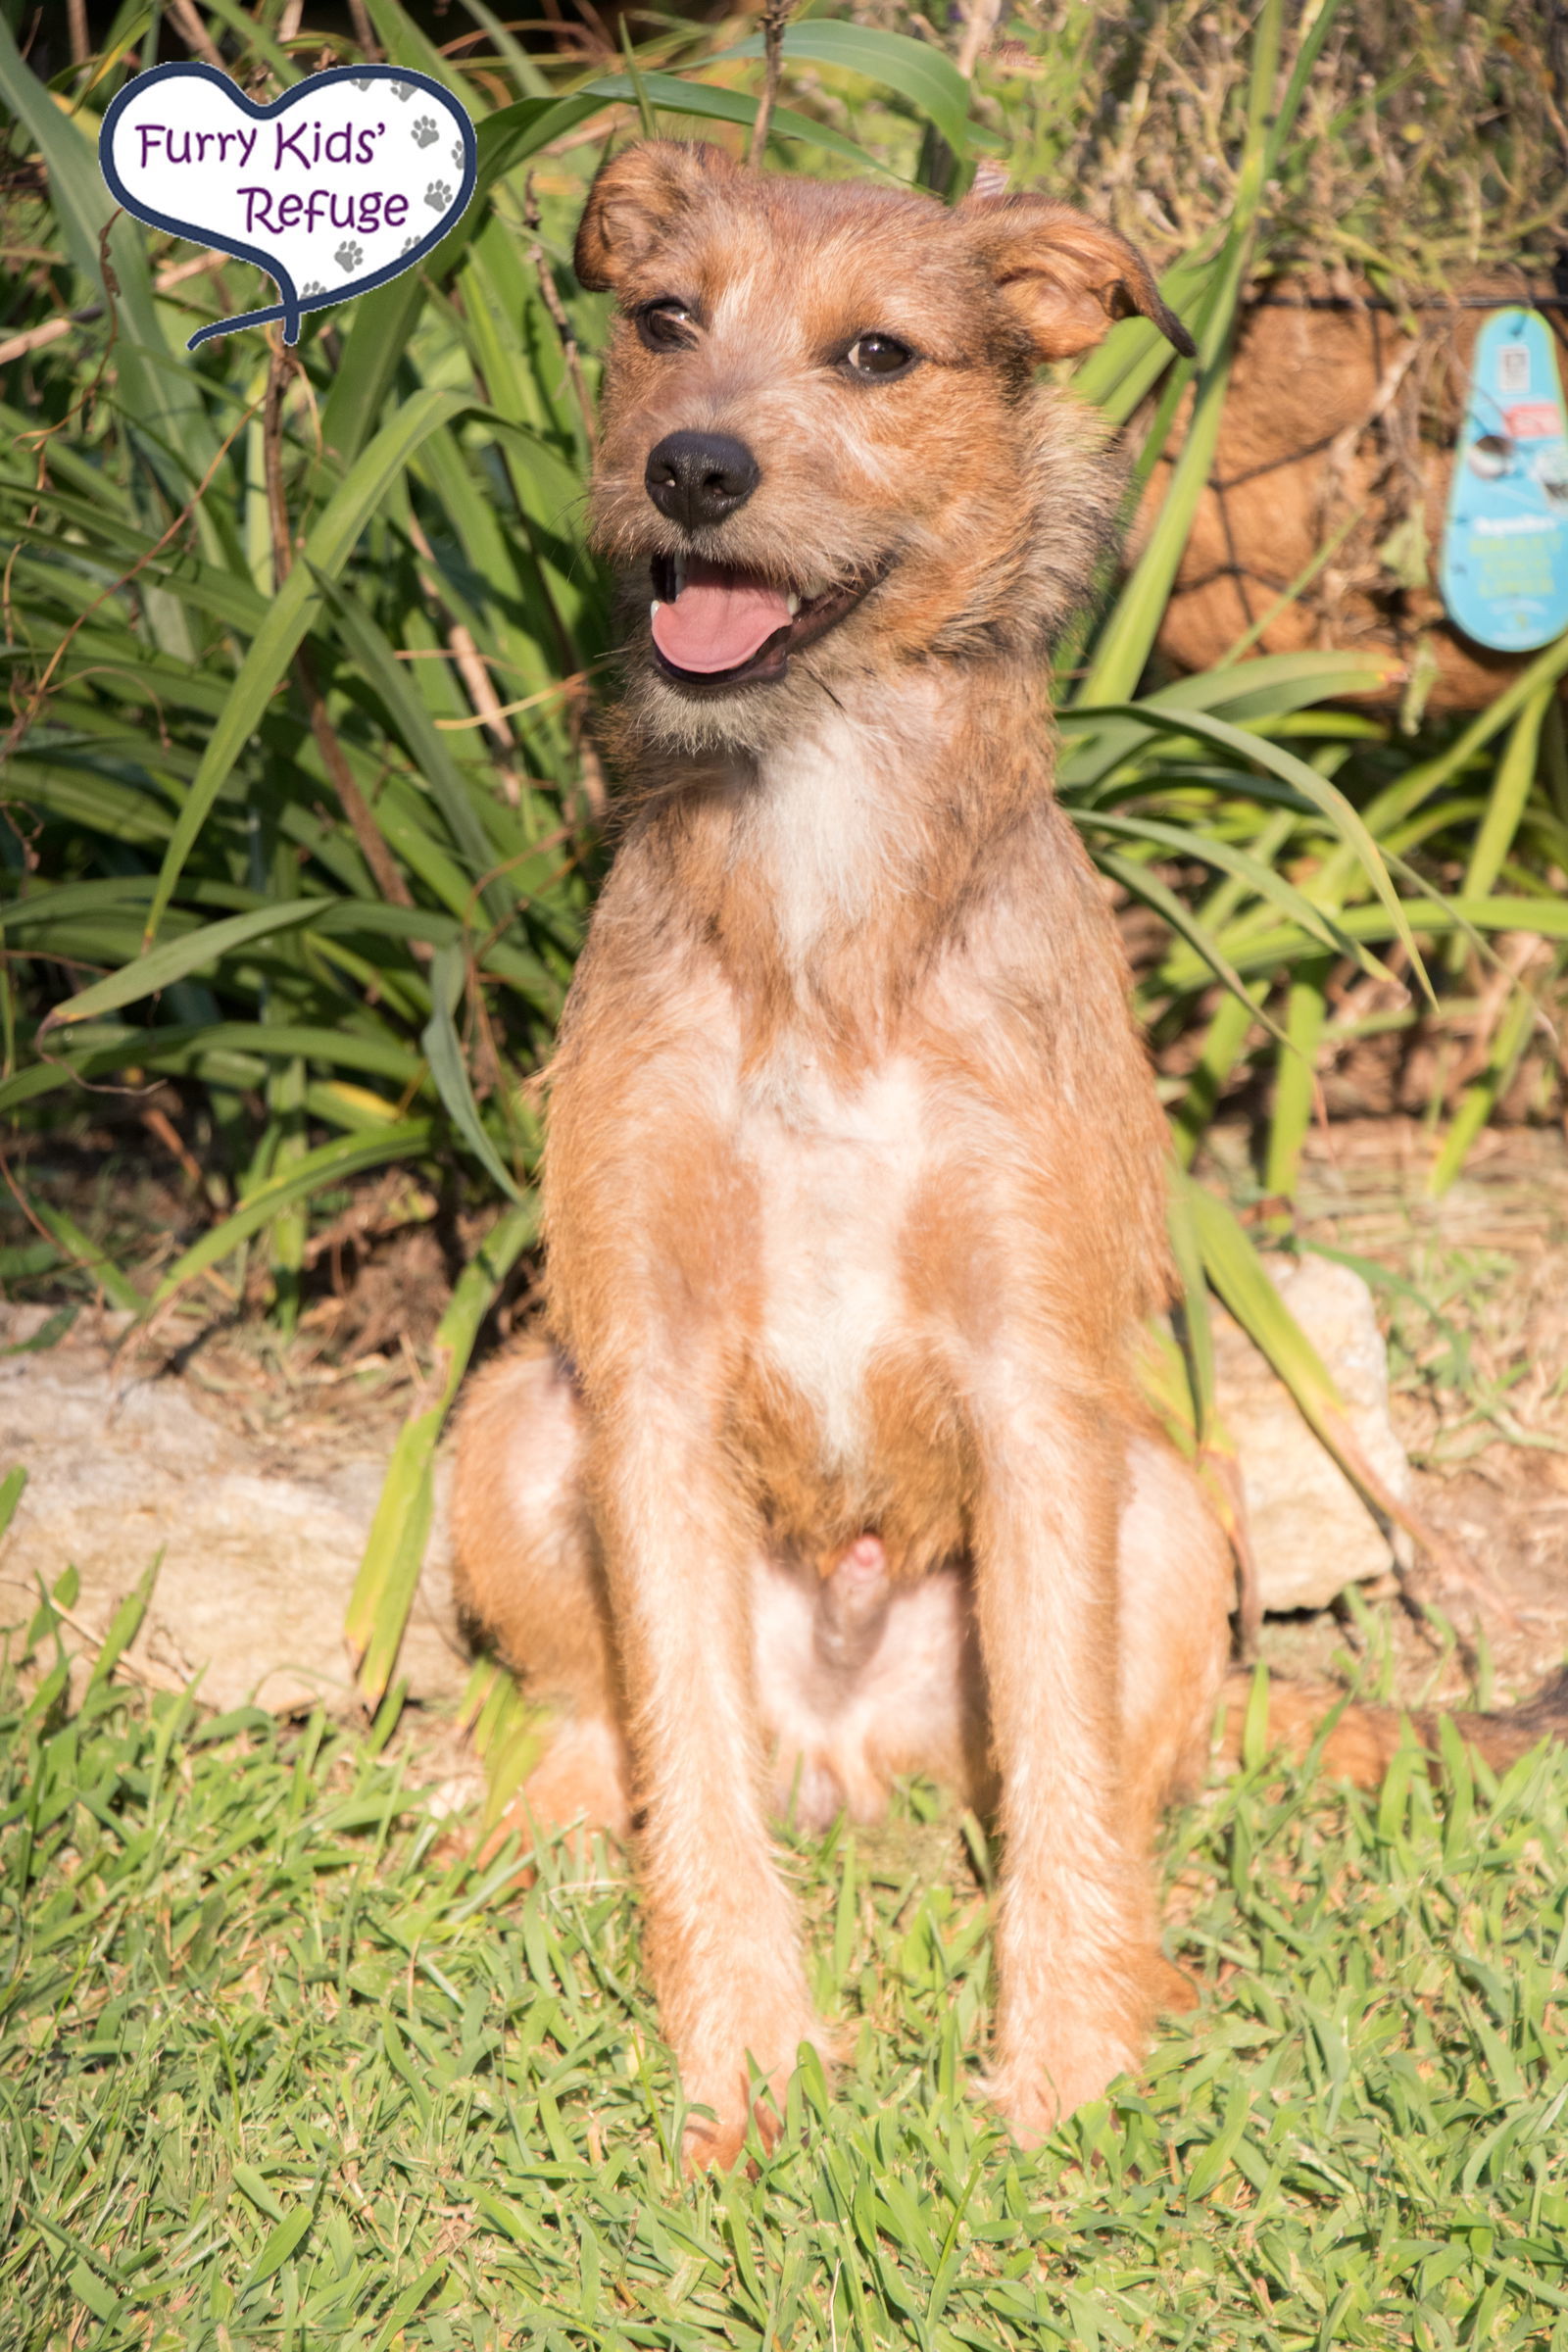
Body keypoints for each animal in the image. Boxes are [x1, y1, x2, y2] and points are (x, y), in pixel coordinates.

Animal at [446, 137, 1231, 2164]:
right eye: (661, 320)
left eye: (878, 353)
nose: (692, 469)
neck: (817, 836)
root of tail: (846, 1751)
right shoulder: (641, 1370)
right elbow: (685, 1744)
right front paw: (744, 2060)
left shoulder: (1035, 1378)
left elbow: (1065, 1773)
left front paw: (1064, 2072)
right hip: (519, 1420)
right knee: (618, 1726)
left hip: (1165, 1511)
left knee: (1098, 1789)